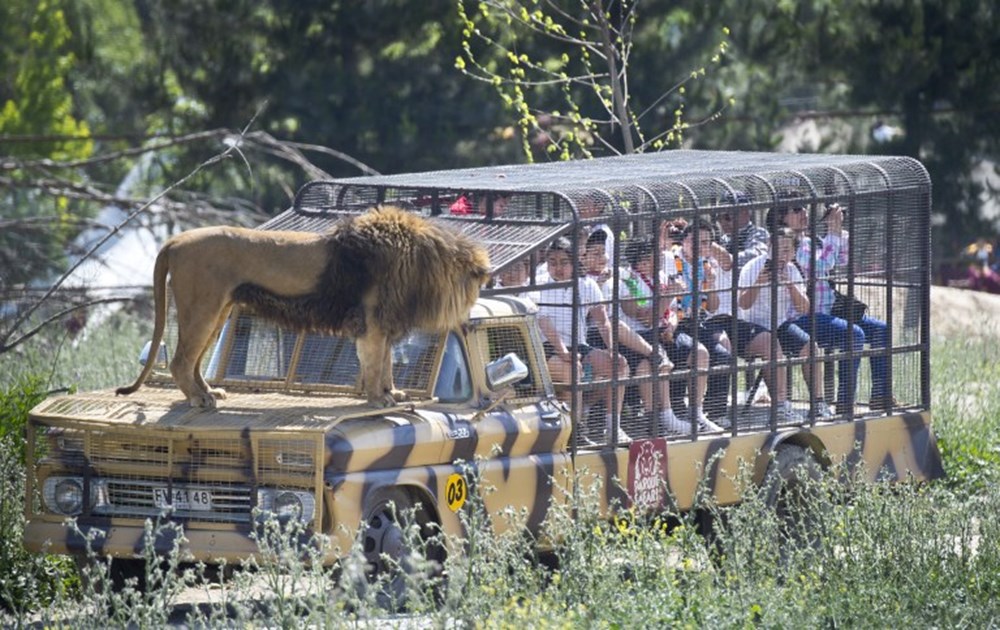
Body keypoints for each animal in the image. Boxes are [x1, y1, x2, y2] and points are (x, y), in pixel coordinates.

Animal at [115, 205, 490, 408]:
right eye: (471, 280)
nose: (484, 275)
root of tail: (175, 241)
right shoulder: (371, 322)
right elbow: (373, 364)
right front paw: (378, 399)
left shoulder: (382, 322)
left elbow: (386, 364)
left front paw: (393, 393)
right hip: (202, 308)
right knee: (180, 361)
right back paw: (198, 399)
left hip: (218, 309)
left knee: (193, 362)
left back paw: (210, 392)